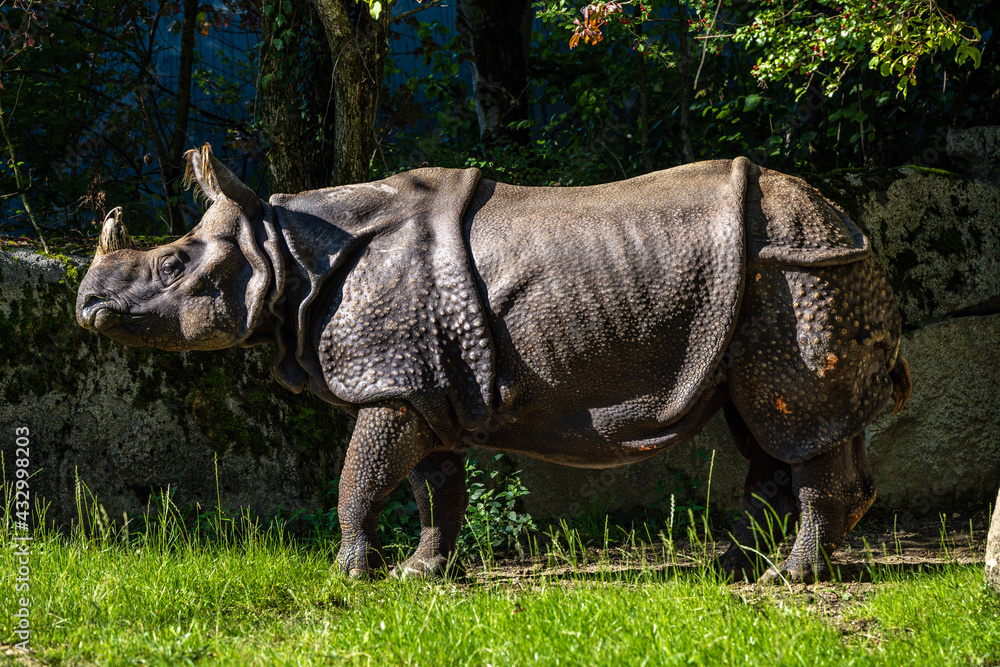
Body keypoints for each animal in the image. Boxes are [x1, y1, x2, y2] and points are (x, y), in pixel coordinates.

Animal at [76, 144, 910, 583]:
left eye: (173, 263)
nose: (86, 303)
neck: (284, 252)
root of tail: (849, 222)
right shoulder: (422, 383)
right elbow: (433, 485)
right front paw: (422, 573)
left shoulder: (393, 381)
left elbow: (359, 478)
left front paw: (350, 575)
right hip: (779, 277)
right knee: (766, 423)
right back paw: (729, 567)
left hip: (795, 273)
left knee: (790, 416)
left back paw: (784, 579)